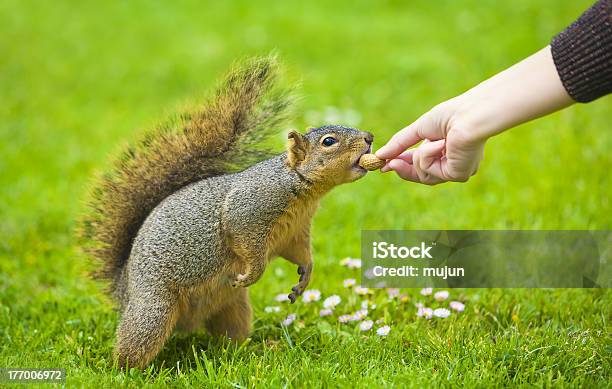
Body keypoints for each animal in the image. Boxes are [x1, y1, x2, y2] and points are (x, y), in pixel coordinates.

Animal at [80, 56, 378, 368]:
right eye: (329, 142)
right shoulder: (247, 212)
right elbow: (247, 245)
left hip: (233, 308)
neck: (300, 187)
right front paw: (251, 275)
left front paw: (305, 277)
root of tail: (124, 288)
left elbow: (300, 253)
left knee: (230, 337)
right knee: (136, 342)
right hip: (154, 309)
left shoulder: (295, 232)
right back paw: (126, 369)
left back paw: (252, 351)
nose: (369, 137)